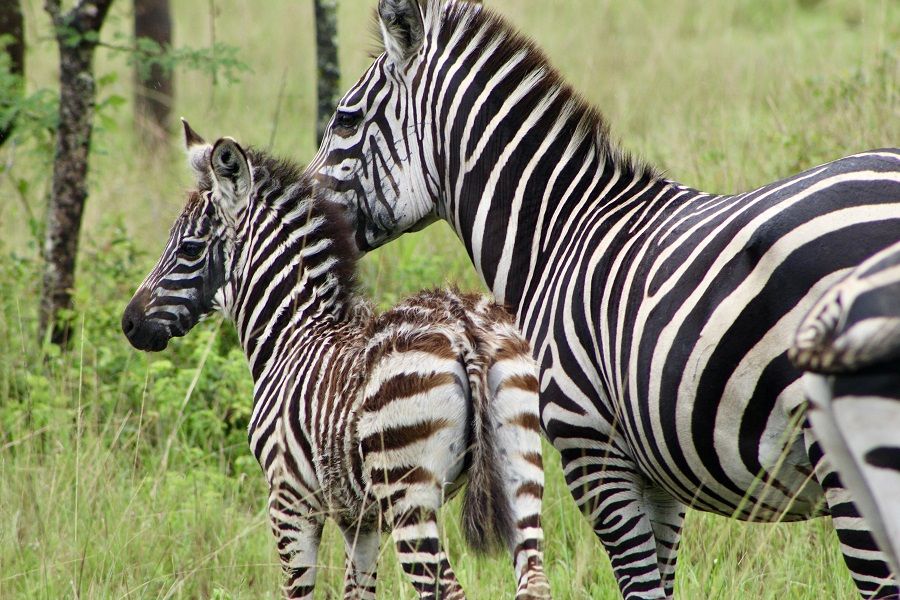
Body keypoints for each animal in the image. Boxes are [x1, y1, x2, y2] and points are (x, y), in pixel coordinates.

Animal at [121, 123, 552, 600]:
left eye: (190, 248)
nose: (129, 323)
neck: (293, 332)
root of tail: (465, 328)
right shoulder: (359, 517)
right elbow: (356, 590)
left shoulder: (288, 501)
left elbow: (299, 590)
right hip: (520, 466)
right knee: (533, 579)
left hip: (409, 491)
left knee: (447, 589)